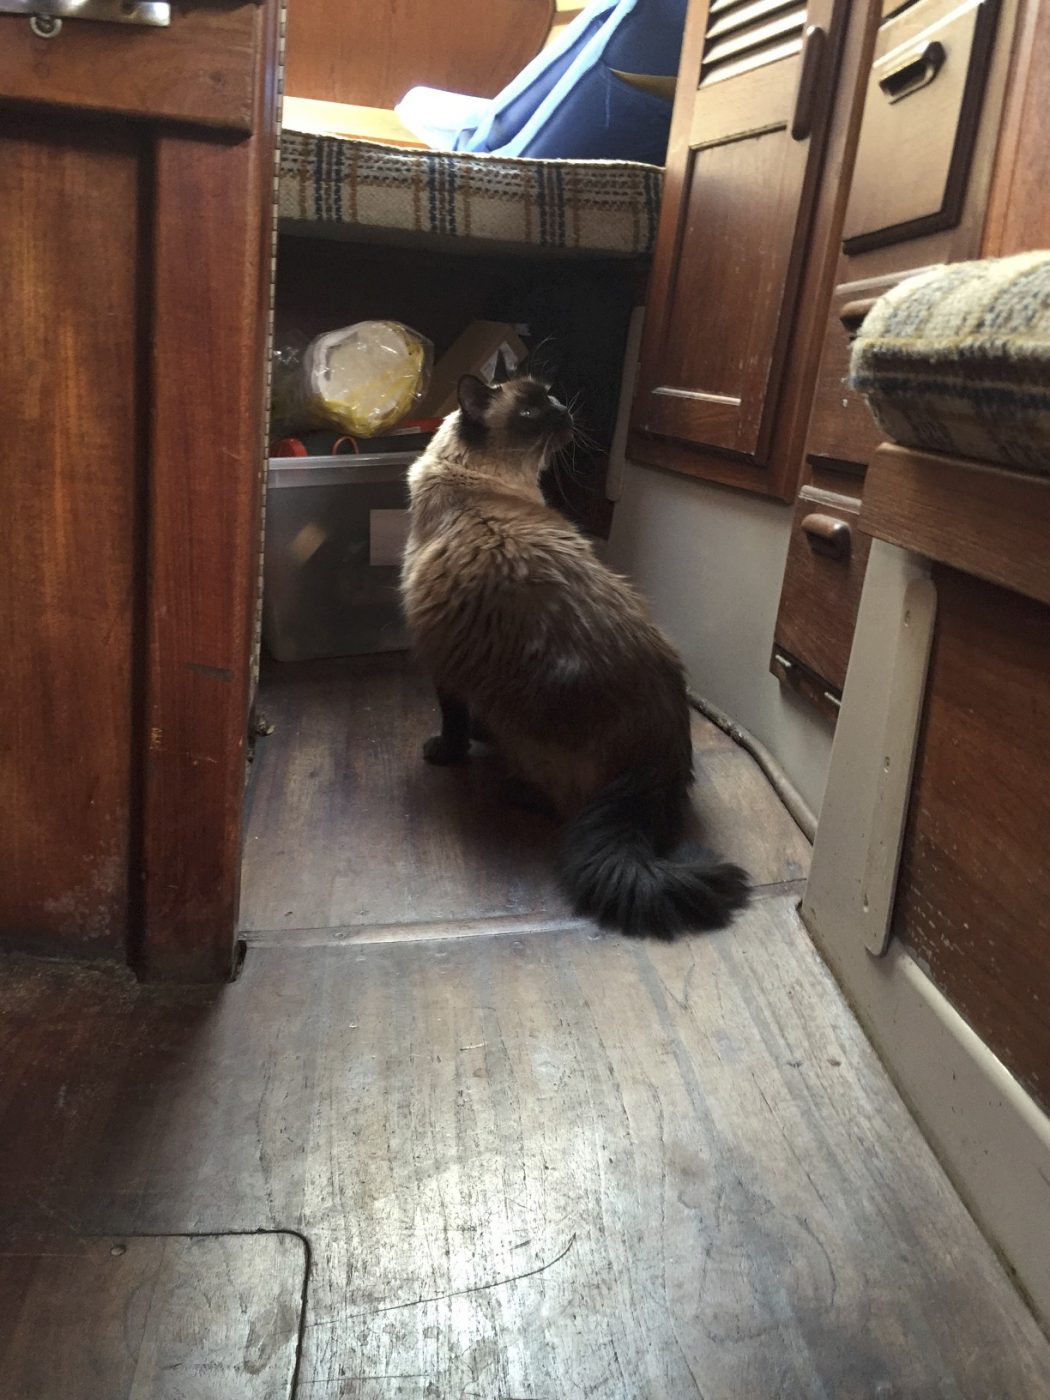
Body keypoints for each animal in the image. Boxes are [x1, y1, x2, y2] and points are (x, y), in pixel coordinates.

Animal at [397, 372, 750, 940]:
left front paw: (446, 751)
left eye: (550, 397)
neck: (483, 480)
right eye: (532, 411)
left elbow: (453, 722)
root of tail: (657, 761)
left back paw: (512, 791)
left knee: (560, 805)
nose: (567, 410)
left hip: (521, 722)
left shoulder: (442, 666)